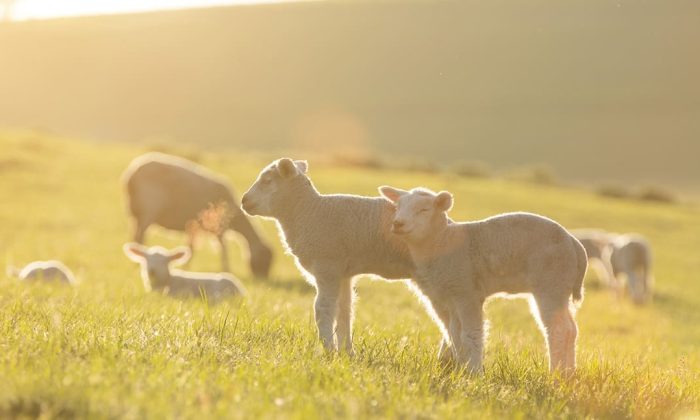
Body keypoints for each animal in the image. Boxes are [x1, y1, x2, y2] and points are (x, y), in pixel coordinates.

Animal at [122, 152, 273, 278]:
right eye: (264, 260)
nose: (262, 278)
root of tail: (130, 176)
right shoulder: (218, 227)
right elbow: (222, 249)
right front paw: (226, 270)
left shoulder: (193, 226)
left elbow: (191, 248)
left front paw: (185, 268)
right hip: (148, 210)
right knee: (139, 237)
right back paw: (136, 264)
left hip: (136, 214)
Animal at [240, 158, 413, 354]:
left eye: (267, 181)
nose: (244, 200)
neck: (308, 213)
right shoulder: (344, 273)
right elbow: (345, 310)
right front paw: (346, 352)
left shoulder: (327, 266)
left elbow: (322, 309)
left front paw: (328, 349)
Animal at [379, 186, 587, 374]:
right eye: (397, 207)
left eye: (424, 210)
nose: (397, 223)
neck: (442, 241)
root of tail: (574, 244)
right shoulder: (449, 295)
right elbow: (454, 334)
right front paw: (461, 368)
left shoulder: (466, 292)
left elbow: (471, 334)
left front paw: (474, 373)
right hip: (560, 287)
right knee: (572, 329)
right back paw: (569, 374)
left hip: (551, 283)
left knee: (559, 330)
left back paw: (556, 374)